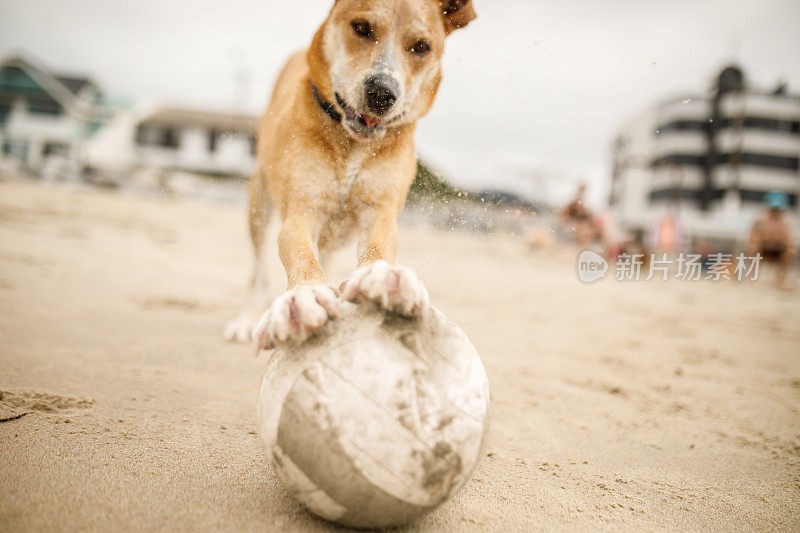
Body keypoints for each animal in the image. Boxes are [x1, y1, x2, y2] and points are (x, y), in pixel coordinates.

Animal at [222, 0, 478, 348]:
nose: (382, 93)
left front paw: (382, 277)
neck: (352, 144)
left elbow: (379, 245)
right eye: (362, 28)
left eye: (422, 47)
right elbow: (300, 253)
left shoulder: (380, 212)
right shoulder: (302, 211)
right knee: (257, 265)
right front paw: (304, 295)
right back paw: (246, 321)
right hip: (259, 202)